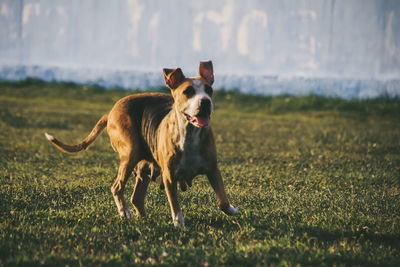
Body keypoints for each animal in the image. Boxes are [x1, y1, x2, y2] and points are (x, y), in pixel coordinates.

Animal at [45, 61, 238, 228]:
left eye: (209, 90)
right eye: (188, 91)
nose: (205, 102)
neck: (189, 133)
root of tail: (112, 110)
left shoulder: (213, 169)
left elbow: (222, 201)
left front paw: (232, 209)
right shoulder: (169, 176)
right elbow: (175, 205)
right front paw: (179, 224)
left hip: (144, 164)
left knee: (137, 197)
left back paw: (143, 218)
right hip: (130, 153)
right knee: (117, 187)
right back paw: (125, 212)